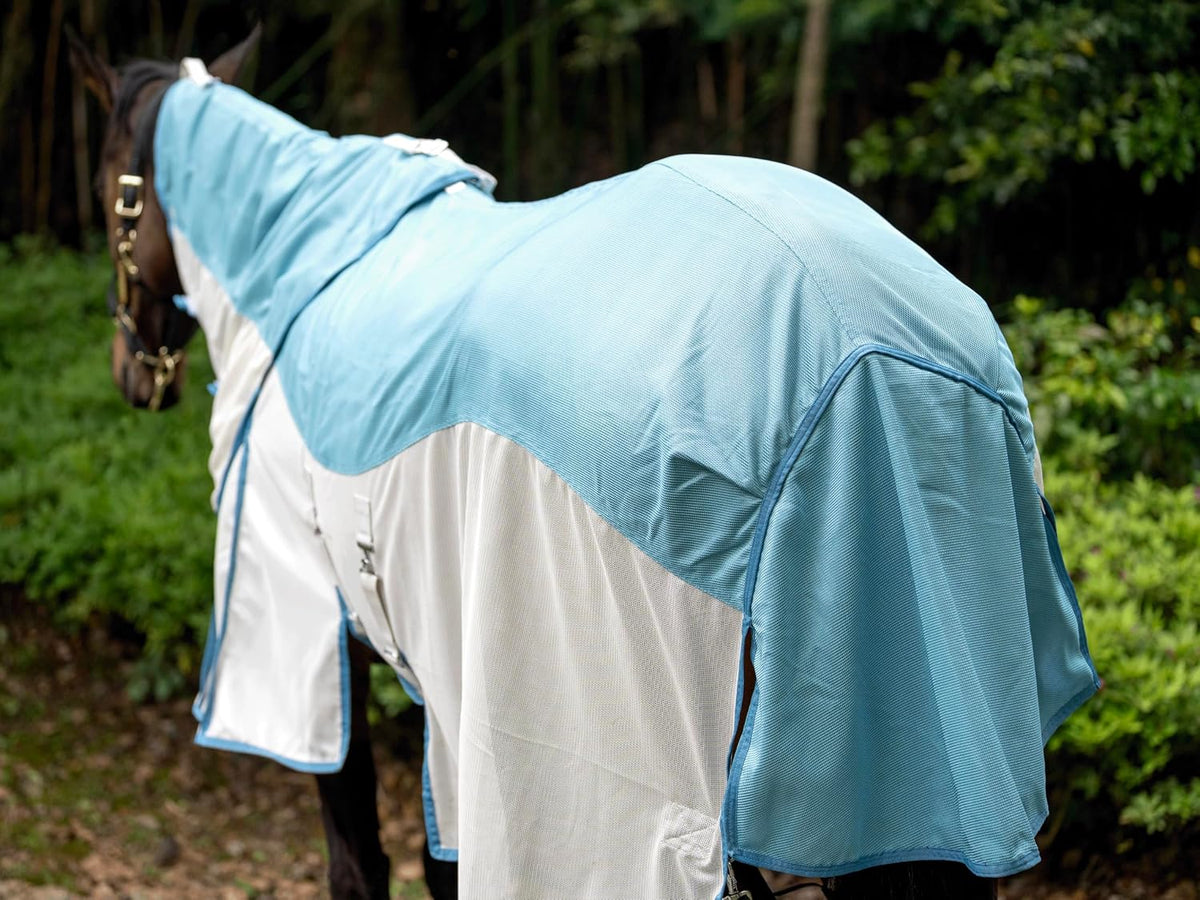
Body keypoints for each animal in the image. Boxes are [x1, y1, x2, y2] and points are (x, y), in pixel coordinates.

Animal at [67, 28, 1098, 900]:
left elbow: (359, 859)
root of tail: (869, 367)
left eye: (112, 183)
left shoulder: (318, 636)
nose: (130, 372)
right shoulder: (436, 674)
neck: (306, 270)